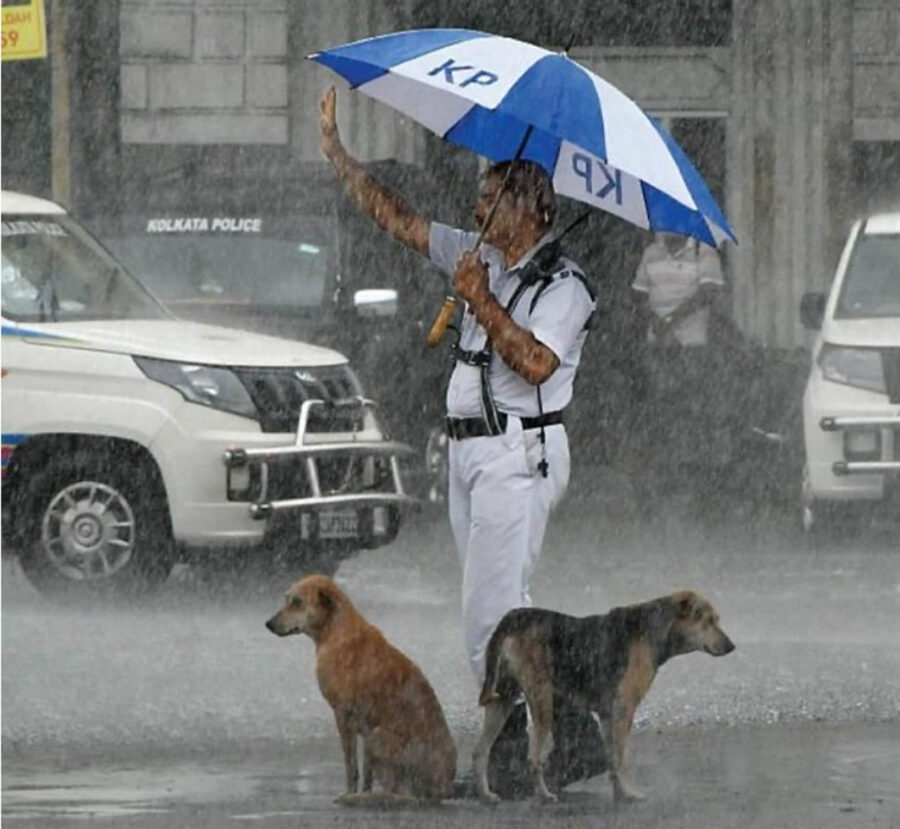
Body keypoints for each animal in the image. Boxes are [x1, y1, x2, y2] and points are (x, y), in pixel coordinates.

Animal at [264, 576, 454, 804]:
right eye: (287, 599)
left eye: (297, 602)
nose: (268, 624)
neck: (335, 630)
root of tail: (441, 789)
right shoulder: (363, 724)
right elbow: (366, 772)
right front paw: (363, 791)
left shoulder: (343, 715)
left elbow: (351, 766)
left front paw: (350, 793)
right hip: (372, 737)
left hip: (377, 737)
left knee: (404, 795)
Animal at [474, 588, 736, 804]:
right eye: (707, 621)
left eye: (717, 619)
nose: (731, 646)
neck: (655, 629)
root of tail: (513, 617)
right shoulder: (624, 710)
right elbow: (621, 758)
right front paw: (630, 793)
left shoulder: (608, 714)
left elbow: (612, 759)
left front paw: (619, 793)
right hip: (542, 700)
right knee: (533, 757)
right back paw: (544, 795)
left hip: (503, 699)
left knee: (481, 751)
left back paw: (486, 795)